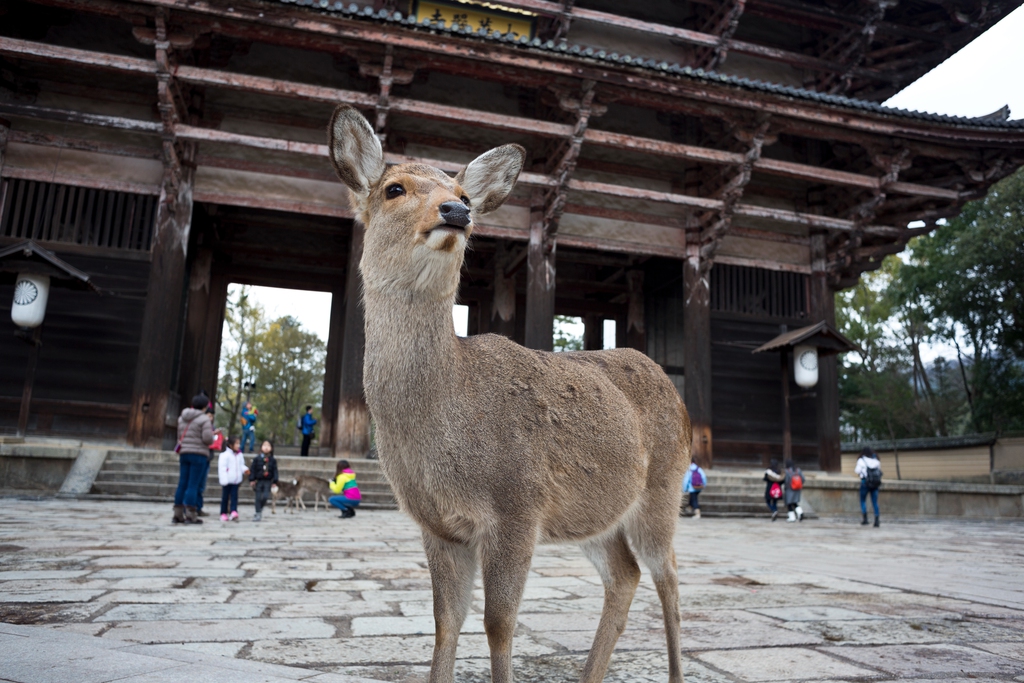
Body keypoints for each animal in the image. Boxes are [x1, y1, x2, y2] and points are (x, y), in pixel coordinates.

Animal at [331, 107, 692, 683]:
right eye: (394, 188)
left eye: (462, 191)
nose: (457, 210)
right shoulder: (437, 524)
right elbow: (445, 622)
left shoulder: (518, 504)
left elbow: (498, 624)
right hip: (597, 515)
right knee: (625, 573)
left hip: (664, 488)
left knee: (670, 578)